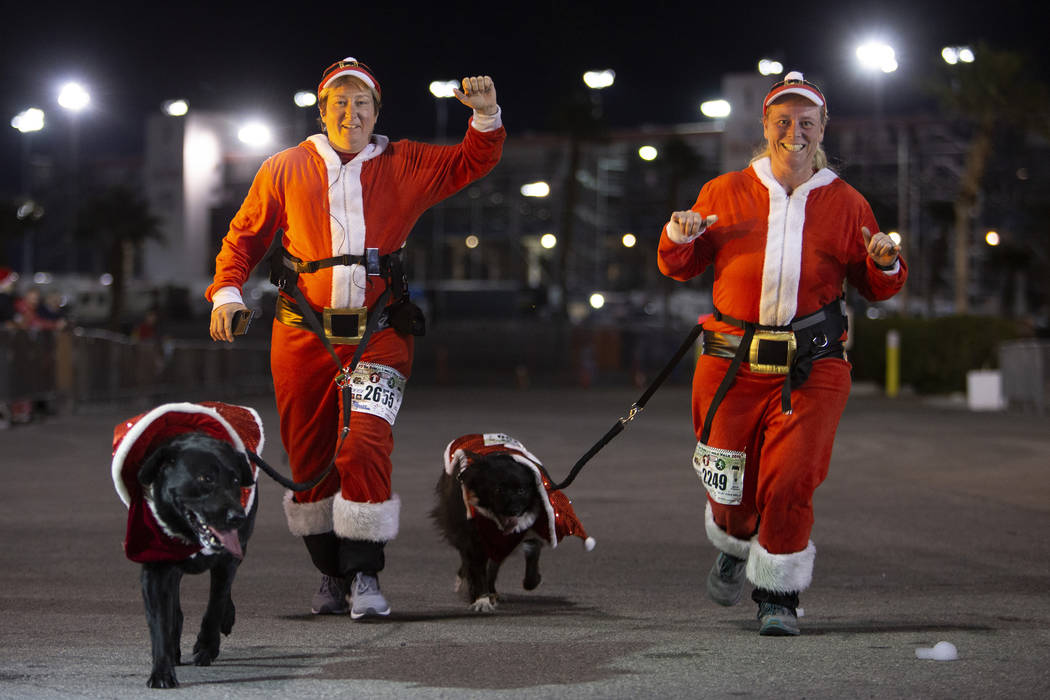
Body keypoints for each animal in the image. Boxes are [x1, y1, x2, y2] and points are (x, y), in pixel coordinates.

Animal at [111, 402, 264, 688]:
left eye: (235, 480)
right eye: (206, 479)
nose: (237, 517)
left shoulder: (227, 559)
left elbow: (215, 603)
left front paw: (206, 646)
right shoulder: (155, 569)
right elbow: (160, 622)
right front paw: (162, 671)